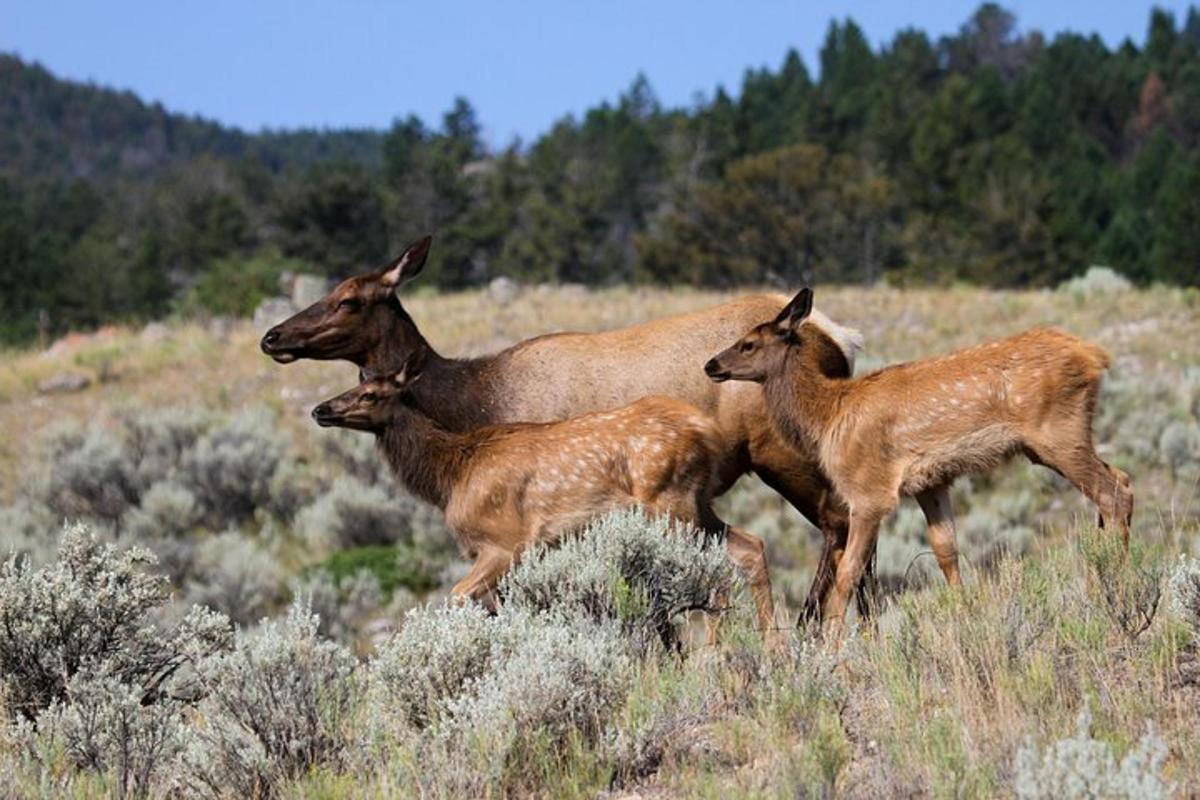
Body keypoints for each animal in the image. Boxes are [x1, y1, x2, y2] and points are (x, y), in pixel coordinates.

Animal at [309, 362, 777, 642]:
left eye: (371, 394)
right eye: (356, 383)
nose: (320, 409)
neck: (451, 477)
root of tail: (707, 432)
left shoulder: (505, 542)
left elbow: (458, 596)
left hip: (670, 503)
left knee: (714, 569)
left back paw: (717, 651)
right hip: (697, 505)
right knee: (750, 546)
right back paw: (770, 646)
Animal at [700, 284, 1132, 633]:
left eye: (749, 343)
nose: (710, 364)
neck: (828, 417)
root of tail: (1096, 355)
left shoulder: (868, 490)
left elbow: (849, 572)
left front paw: (833, 646)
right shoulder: (931, 481)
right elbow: (946, 551)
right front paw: (964, 616)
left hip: (1058, 432)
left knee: (1113, 492)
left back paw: (1114, 585)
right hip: (1059, 439)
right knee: (1122, 479)